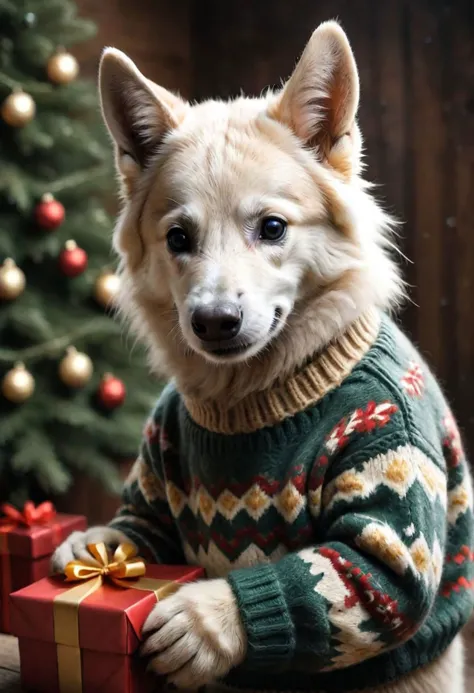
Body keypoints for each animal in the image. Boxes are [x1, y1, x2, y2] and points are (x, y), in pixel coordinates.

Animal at [52, 18, 470, 688]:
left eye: (272, 228)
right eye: (178, 238)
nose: (214, 322)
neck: (260, 390)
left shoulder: (393, 451)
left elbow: (368, 571)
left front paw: (209, 620)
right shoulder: (156, 473)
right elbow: (141, 525)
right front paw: (93, 550)